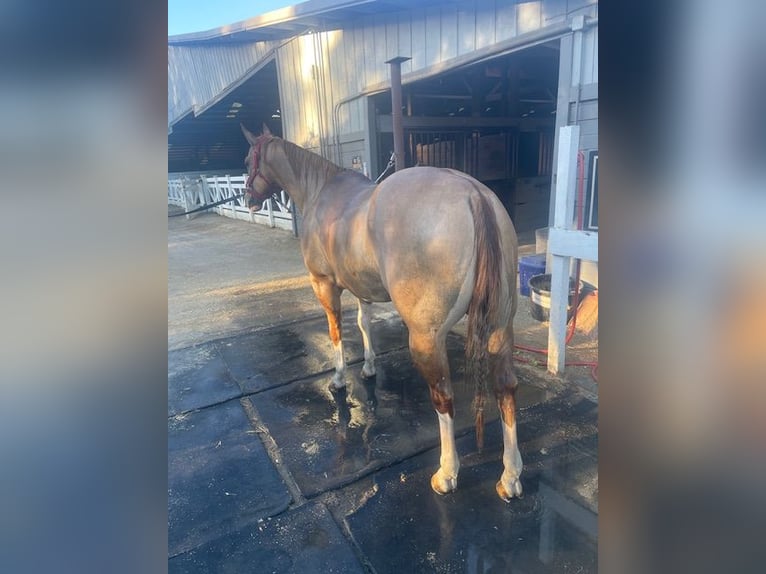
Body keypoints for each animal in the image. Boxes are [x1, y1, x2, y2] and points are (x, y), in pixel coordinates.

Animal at [243, 124, 524, 502]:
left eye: (249, 159)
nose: (248, 198)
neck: (321, 193)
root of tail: (473, 193)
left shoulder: (325, 286)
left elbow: (335, 330)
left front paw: (339, 379)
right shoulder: (361, 286)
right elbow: (364, 324)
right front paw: (369, 368)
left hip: (426, 338)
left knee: (444, 397)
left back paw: (446, 474)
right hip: (499, 327)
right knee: (505, 388)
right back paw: (510, 477)